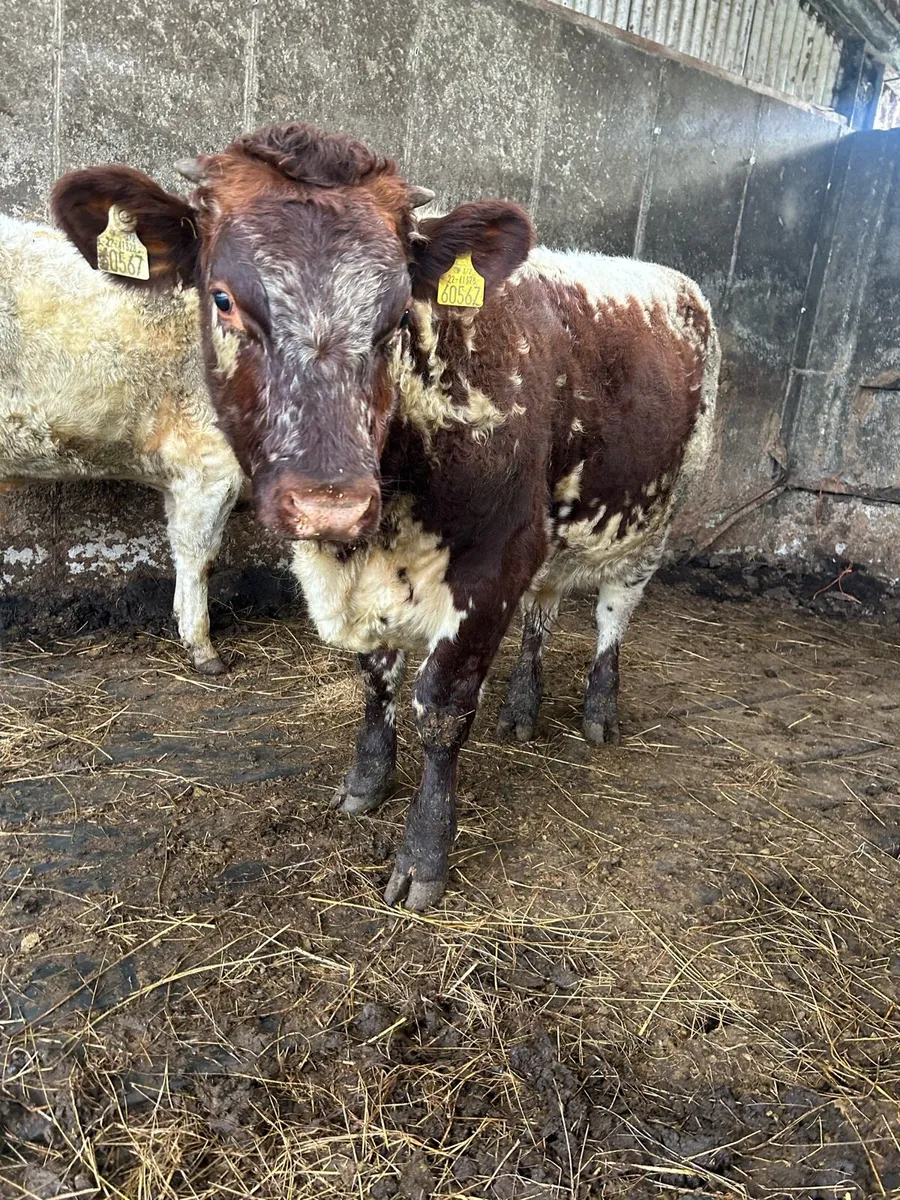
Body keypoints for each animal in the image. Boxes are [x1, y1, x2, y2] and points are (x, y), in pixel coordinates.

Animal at [52, 122, 720, 910]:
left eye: (401, 315)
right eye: (221, 298)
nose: (330, 502)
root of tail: (670, 278)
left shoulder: (497, 560)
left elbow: (441, 710)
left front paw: (425, 852)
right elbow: (374, 679)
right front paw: (367, 780)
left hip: (657, 517)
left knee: (614, 614)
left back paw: (599, 709)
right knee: (546, 608)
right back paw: (523, 708)